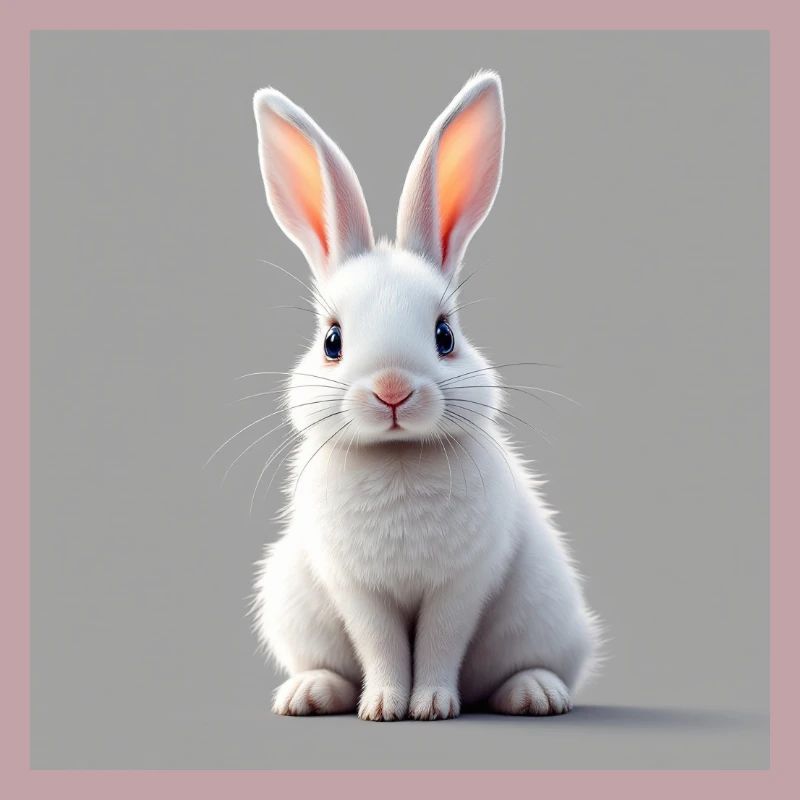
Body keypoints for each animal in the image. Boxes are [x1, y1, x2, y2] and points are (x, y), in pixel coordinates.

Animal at [248, 71, 600, 721]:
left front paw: (432, 705)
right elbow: (382, 645)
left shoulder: (461, 586)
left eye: (445, 335)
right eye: (332, 340)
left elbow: (439, 642)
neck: (398, 457)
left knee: (519, 667)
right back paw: (309, 693)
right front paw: (386, 706)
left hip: (545, 613)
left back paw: (535, 693)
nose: (392, 390)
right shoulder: (357, 590)